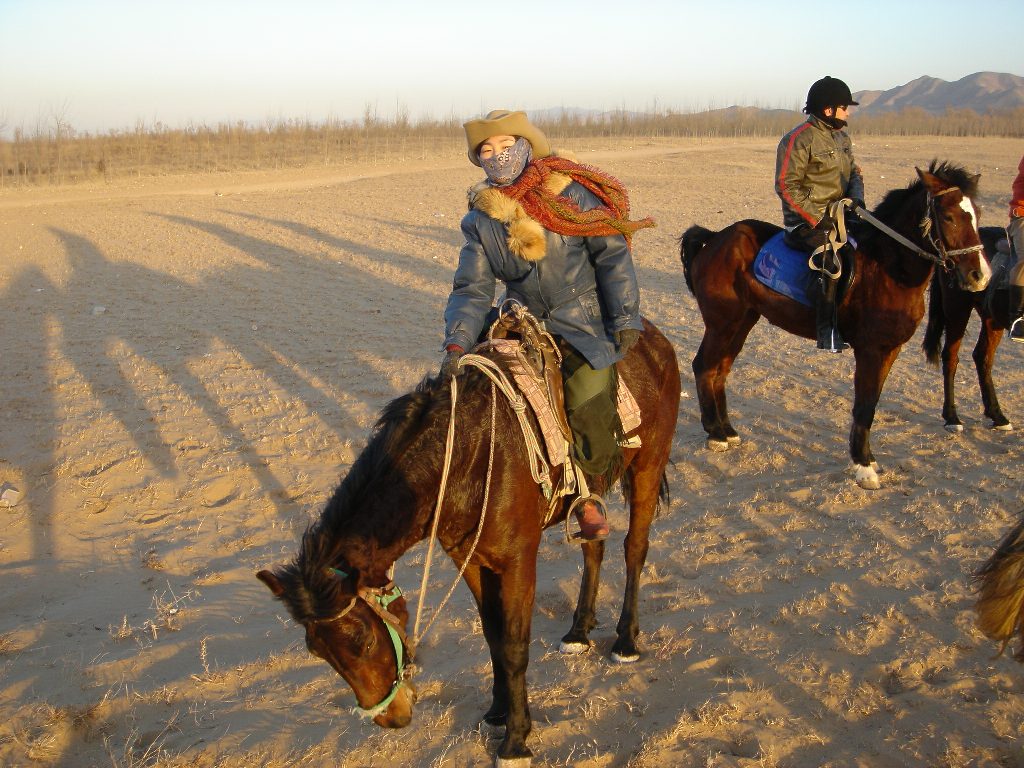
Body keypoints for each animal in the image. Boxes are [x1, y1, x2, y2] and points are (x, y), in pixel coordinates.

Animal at [253, 319, 679, 768]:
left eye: (364, 641)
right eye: (318, 651)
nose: (391, 718)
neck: (466, 455)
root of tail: (656, 339)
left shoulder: (518, 561)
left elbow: (514, 646)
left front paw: (516, 741)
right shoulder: (469, 558)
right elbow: (492, 637)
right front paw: (498, 713)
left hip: (649, 466)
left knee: (635, 548)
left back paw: (626, 640)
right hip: (592, 492)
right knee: (594, 545)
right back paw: (578, 631)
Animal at [684, 160, 987, 493]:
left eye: (977, 214)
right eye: (948, 217)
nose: (979, 275)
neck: (887, 269)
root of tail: (715, 238)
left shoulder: (890, 349)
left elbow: (872, 402)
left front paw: (867, 458)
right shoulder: (870, 350)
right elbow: (864, 404)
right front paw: (863, 467)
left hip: (742, 321)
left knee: (720, 371)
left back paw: (727, 429)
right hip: (722, 322)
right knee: (703, 366)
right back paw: (715, 434)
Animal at [921, 227, 1015, 434]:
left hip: (991, 318)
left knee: (982, 356)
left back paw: (997, 415)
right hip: (958, 310)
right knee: (951, 356)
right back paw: (952, 418)